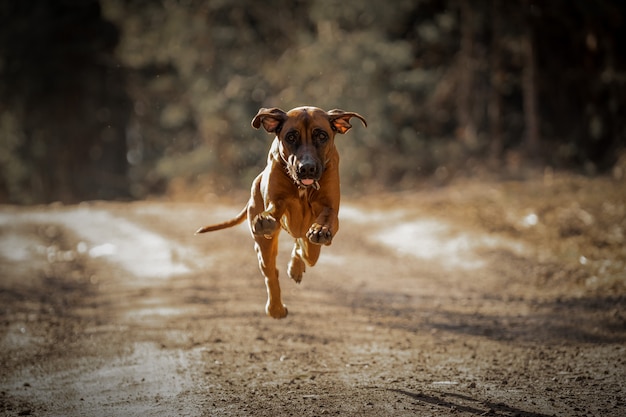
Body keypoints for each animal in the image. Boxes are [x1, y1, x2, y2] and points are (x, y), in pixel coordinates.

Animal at [195, 105, 366, 316]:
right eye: (291, 137)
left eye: (321, 136)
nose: (306, 168)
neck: (302, 187)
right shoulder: (277, 202)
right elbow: (273, 210)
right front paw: (265, 220)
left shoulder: (330, 208)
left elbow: (324, 219)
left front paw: (320, 230)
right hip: (264, 243)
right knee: (271, 271)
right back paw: (276, 308)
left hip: (310, 246)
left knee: (305, 248)